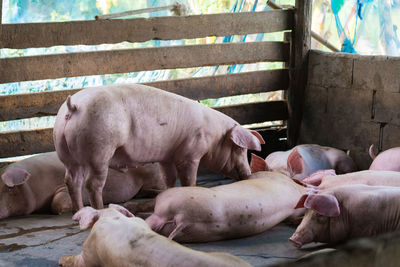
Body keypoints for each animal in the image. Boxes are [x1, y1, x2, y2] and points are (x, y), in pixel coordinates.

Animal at [54, 85, 266, 213]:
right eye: (240, 149)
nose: (248, 174)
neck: (214, 137)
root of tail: (73, 107)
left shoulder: (167, 156)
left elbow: (169, 179)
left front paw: (170, 192)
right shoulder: (190, 154)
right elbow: (189, 179)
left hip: (66, 154)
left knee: (71, 180)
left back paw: (79, 211)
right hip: (99, 149)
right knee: (92, 183)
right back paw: (100, 211)